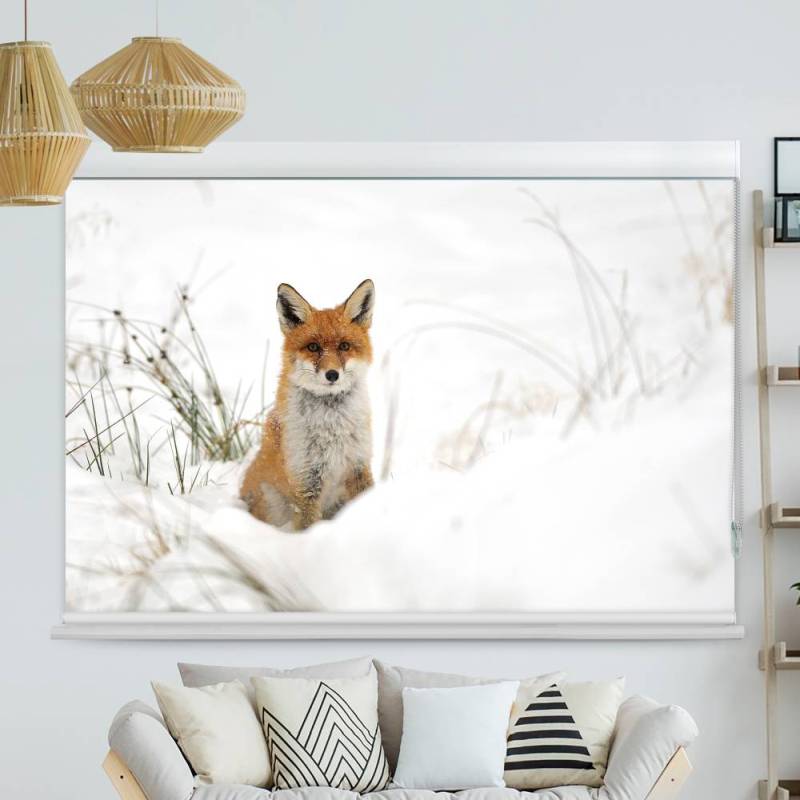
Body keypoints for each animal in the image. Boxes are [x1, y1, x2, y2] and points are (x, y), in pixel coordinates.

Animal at [240, 279, 376, 531]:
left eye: (344, 346)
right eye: (313, 347)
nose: (332, 375)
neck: (332, 427)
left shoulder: (359, 465)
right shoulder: (305, 480)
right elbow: (307, 526)